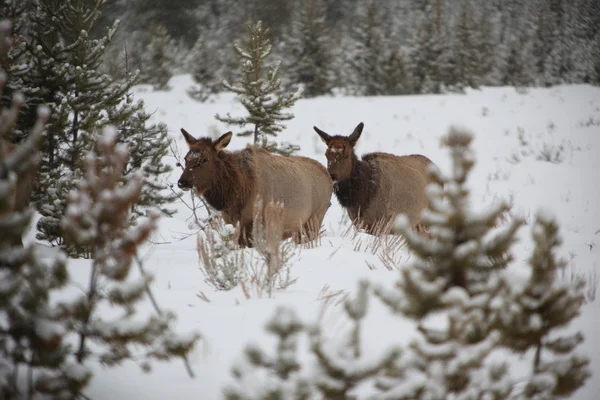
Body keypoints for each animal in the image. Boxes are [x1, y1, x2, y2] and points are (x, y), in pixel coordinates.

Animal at [176, 128, 336, 247]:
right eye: (186, 158)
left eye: (205, 159)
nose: (182, 182)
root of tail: (329, 177)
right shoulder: (230, 220)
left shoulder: (251, 221)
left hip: (315, 218)